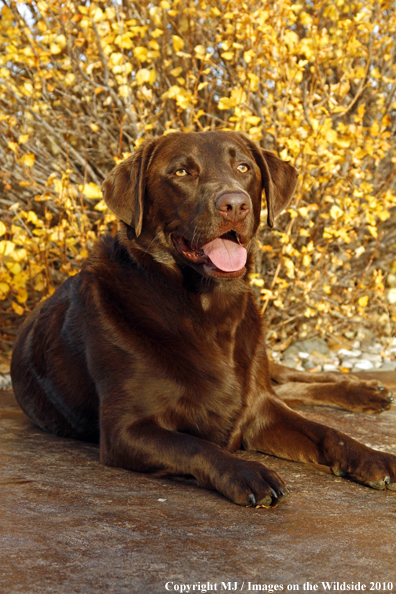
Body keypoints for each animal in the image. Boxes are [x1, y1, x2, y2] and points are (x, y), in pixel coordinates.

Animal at [10, 131, 394, 504]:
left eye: (243, 167)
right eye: (182, 172)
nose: (235, 204)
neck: (208, 308)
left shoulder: (260, 410)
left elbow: (327, 432)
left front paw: (372, 457)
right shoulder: (126, 430)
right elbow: (196, 445)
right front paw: (247, 472)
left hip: (257, 360)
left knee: (285, 379)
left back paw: (364, 391)